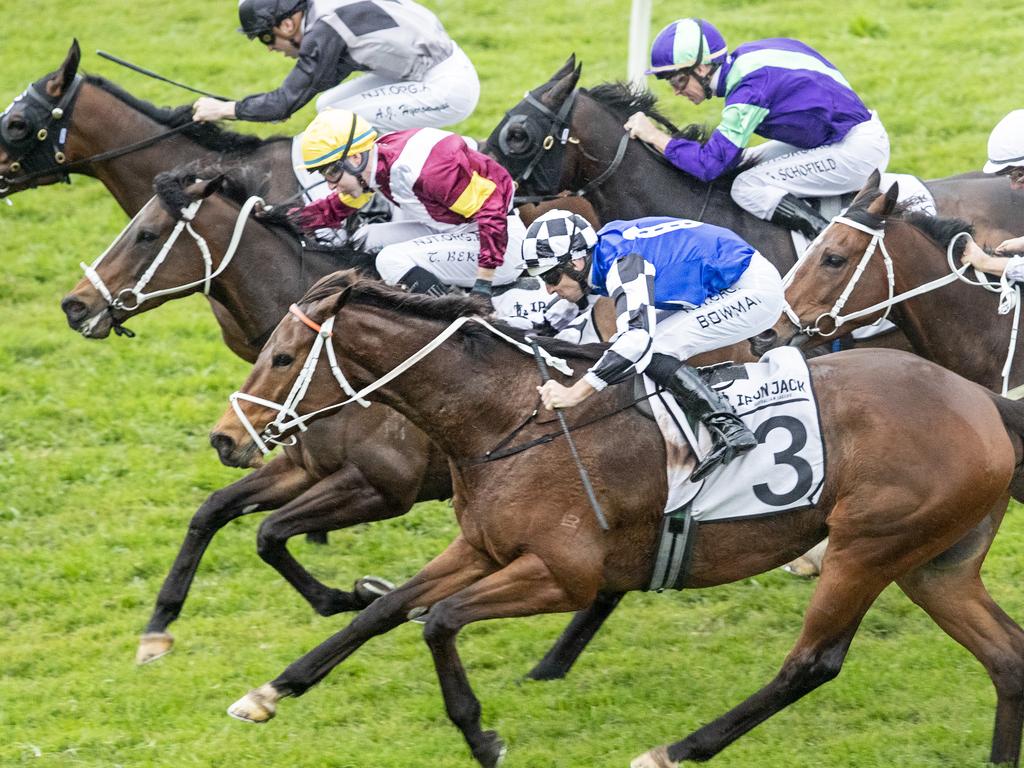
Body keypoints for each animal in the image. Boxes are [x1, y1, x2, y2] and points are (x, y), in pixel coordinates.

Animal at [207, 272, 1024, 768]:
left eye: (282, 358)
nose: (225, 438)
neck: (505, 418)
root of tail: (982, 400)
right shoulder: (482, 546)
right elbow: (382, 613)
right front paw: (269, 692)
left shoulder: (560, 574)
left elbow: (438, 620)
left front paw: (482, 735)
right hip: (935, 564)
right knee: (1008, 658)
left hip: (869, 547)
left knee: (811, 663)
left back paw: (674, 749)